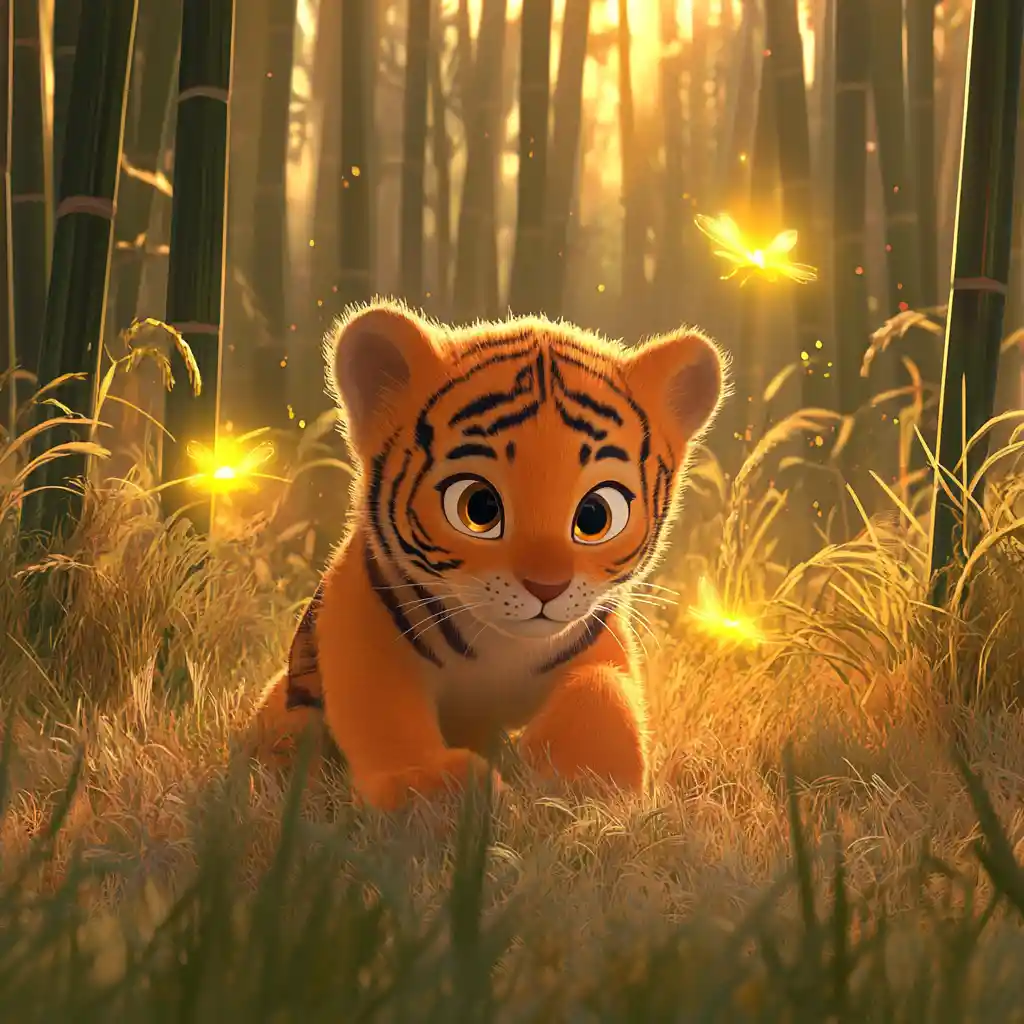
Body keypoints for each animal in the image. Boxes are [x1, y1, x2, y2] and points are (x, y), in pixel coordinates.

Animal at [246, 299, 728, 811]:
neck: (503, 646)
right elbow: (383, 707)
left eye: (595, 515)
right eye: (479, 508)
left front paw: (582, 779)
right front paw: (434, 786)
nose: (546, 587)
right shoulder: (364, 628)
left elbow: (605, 689)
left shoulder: (599, 639)